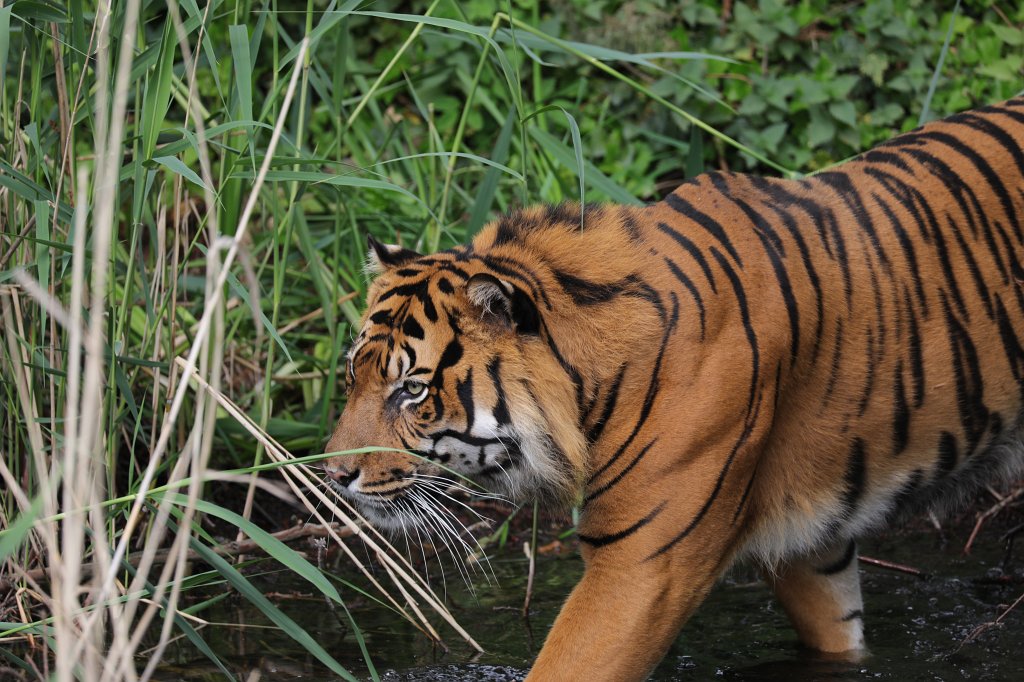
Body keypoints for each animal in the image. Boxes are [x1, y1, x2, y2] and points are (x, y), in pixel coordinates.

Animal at [323, 98, 1024, 681]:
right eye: (355, 376)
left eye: (412, 392)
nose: (333, 477)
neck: (591, 378)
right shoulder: (808, 541)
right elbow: (838, 633)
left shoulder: (644, 564)